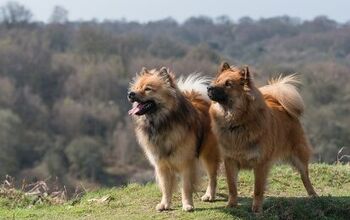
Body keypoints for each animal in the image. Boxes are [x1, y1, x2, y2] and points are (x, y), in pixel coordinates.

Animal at [127, 67, 220, 211]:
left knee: (212, 177)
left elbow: (186, 187)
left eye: (147, 89)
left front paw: (187, 205)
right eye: (136, 88)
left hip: (208, 154)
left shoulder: (186, 163)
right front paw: (164, 204)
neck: (162, 123)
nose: (130, 94)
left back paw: (209, 195)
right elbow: (166, 187)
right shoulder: (161, 165)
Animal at [208, 62, 318, 213]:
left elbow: (258, 189)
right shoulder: (230, 160)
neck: (237, 122)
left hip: (298, 156)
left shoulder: (260, 163)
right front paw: (231, 204)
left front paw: (257, 208)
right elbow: (232, 187)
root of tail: (279, 103)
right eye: (217, 81)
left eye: (228, 84)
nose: (209, 88)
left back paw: (313, 194)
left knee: (305, 176)